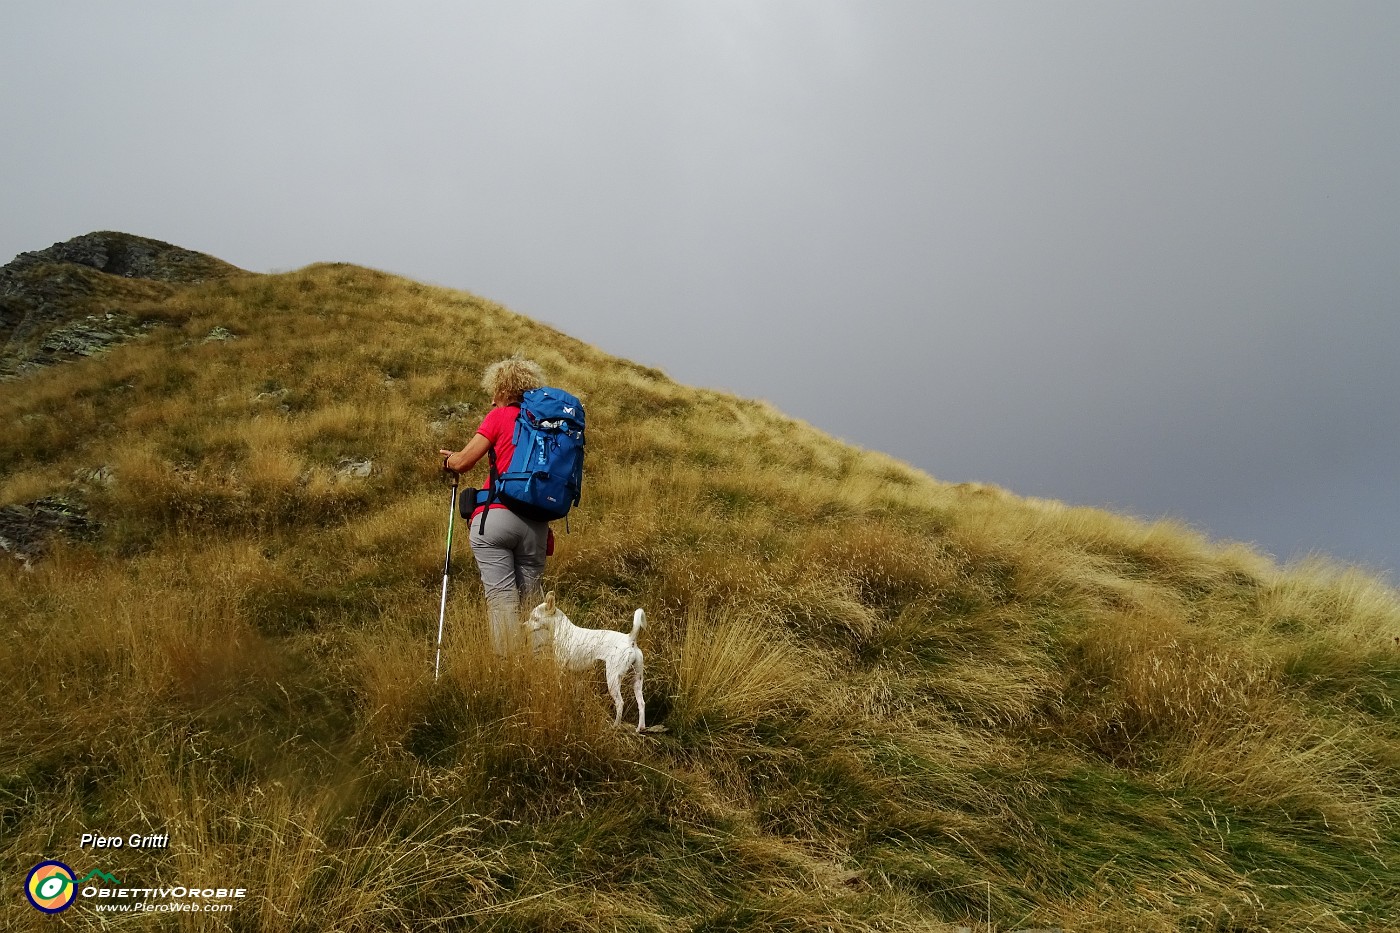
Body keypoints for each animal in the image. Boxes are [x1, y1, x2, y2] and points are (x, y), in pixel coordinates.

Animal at [529, 591, 649, 728]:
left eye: (535, 618)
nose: (523, 626)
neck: (562, 630)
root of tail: (630, 639)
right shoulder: (578, 675)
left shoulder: (560, 667)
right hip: (637, 679)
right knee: (641, 703)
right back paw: (640, 728)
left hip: (613, 679)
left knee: (620, 703)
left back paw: (615, 725)